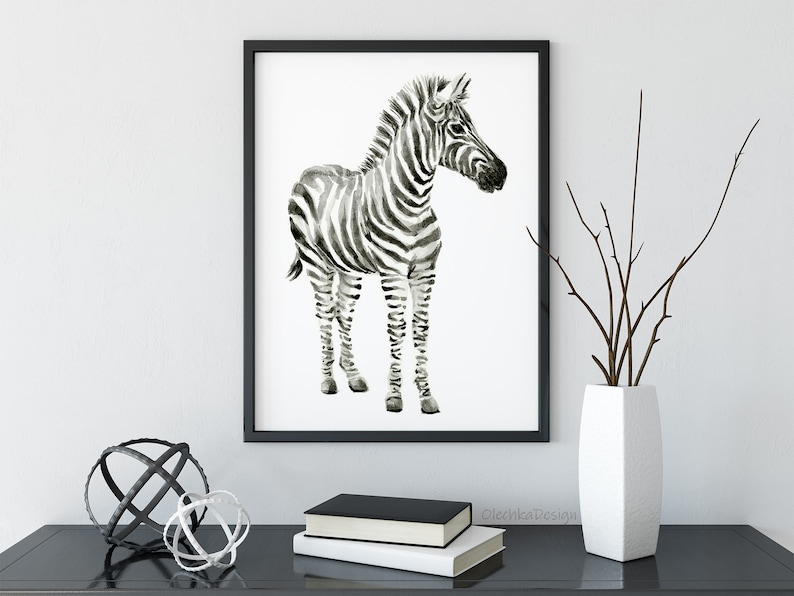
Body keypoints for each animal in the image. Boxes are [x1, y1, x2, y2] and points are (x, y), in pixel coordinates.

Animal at [286, 74, 507, 414]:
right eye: (458, 128)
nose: (502, 174)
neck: (414, 202)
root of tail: (309, 171)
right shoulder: (392, 274)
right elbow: (397, 328)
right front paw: (394, 395)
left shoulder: (426, 273)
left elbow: (420, 328)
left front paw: (426, 395)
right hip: (315, 262)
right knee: (324, 312)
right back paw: (328, 381)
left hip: (349, 268)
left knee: (342, 312)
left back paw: (353, 376)